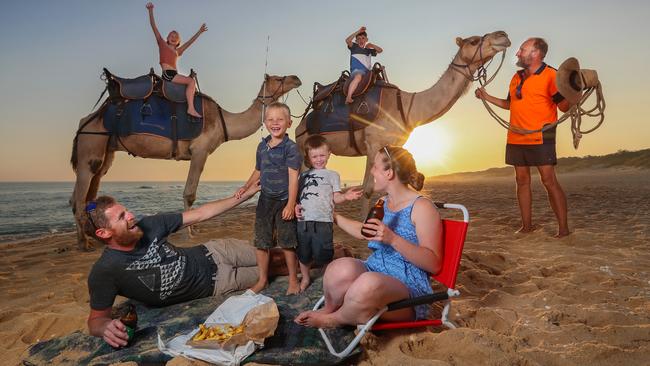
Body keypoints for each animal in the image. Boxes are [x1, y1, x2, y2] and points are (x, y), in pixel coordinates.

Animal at [69, 70, 302, 250]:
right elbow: (190, 193)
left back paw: (90, 237)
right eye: (278, 78)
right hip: (91, 142)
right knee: (81, 193)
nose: (296, 78)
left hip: (105, 149)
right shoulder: (200, 150)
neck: (223, 121)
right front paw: (191, 231)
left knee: (91, 185)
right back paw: (83, 243)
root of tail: (85, 121)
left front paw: (194, 227)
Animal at [294, 30, 512, 216]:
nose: (503, 35)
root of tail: (301, 124)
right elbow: (367, 189)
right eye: (473, 41)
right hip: (303, 145)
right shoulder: (373, 144)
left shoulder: (392, 145)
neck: (406, 107)